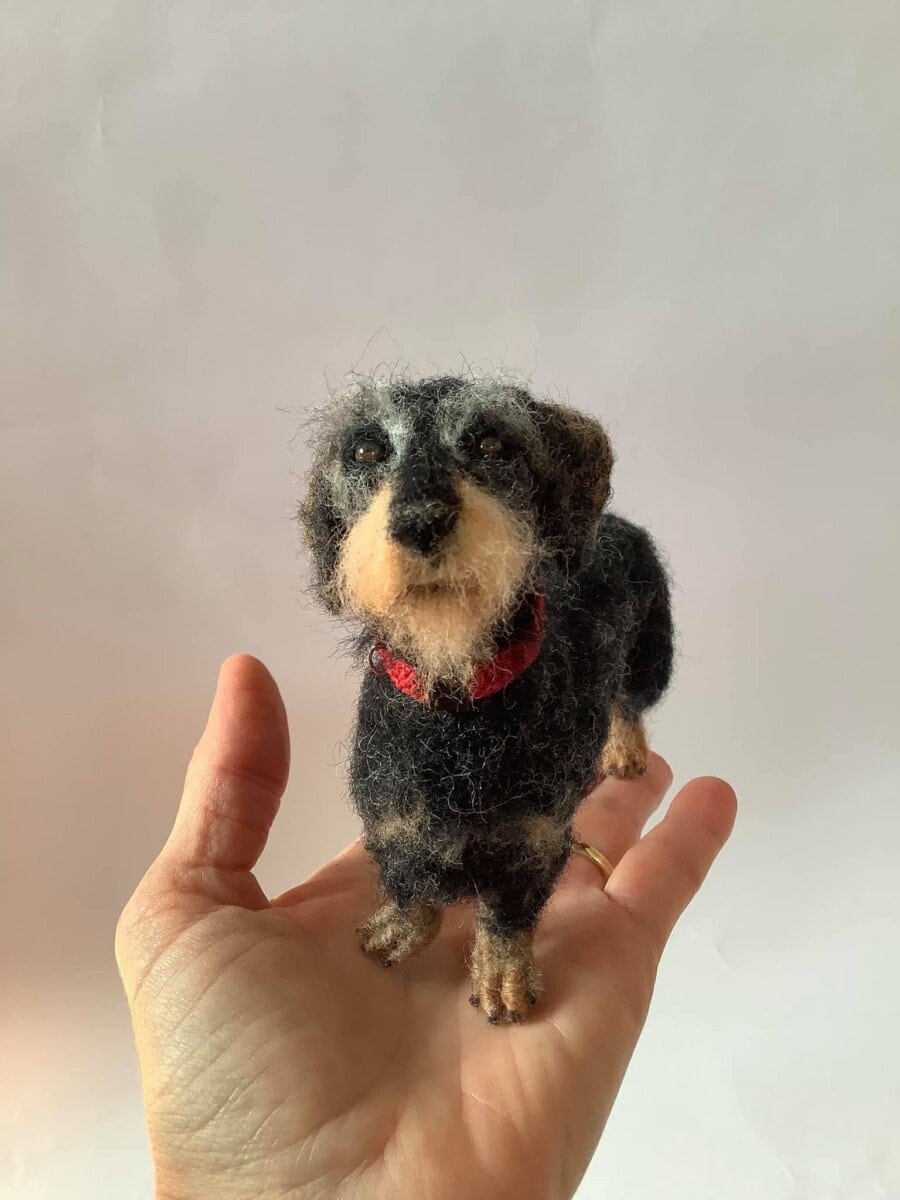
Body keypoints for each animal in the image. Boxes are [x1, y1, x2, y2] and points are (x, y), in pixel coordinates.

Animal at [300, 374, 672, 1022]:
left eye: (493, 443)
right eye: (366, 450)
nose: (420, 522)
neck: (457, 711)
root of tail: (618, 523)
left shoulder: (533, 840)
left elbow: (507, 914)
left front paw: (502, 977)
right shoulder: (392, 820)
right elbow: (409, 884)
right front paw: (399, 929)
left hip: (651, 656)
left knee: (627, 702)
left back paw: (624, 751)